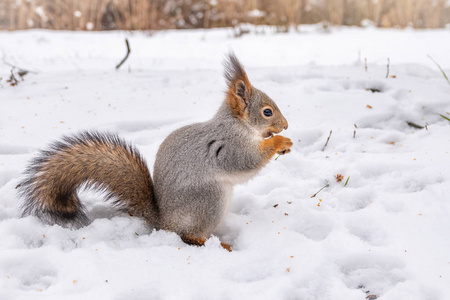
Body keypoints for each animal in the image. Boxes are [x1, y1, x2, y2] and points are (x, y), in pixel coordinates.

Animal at [16, 53, 292, 251]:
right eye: (267, 112)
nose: (286, 125)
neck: (238, 124)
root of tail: (164, 222)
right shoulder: (228, 146)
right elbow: (246, 162)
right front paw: (280, 142)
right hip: (209, 200)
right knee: (188, 236)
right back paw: (214, 243)